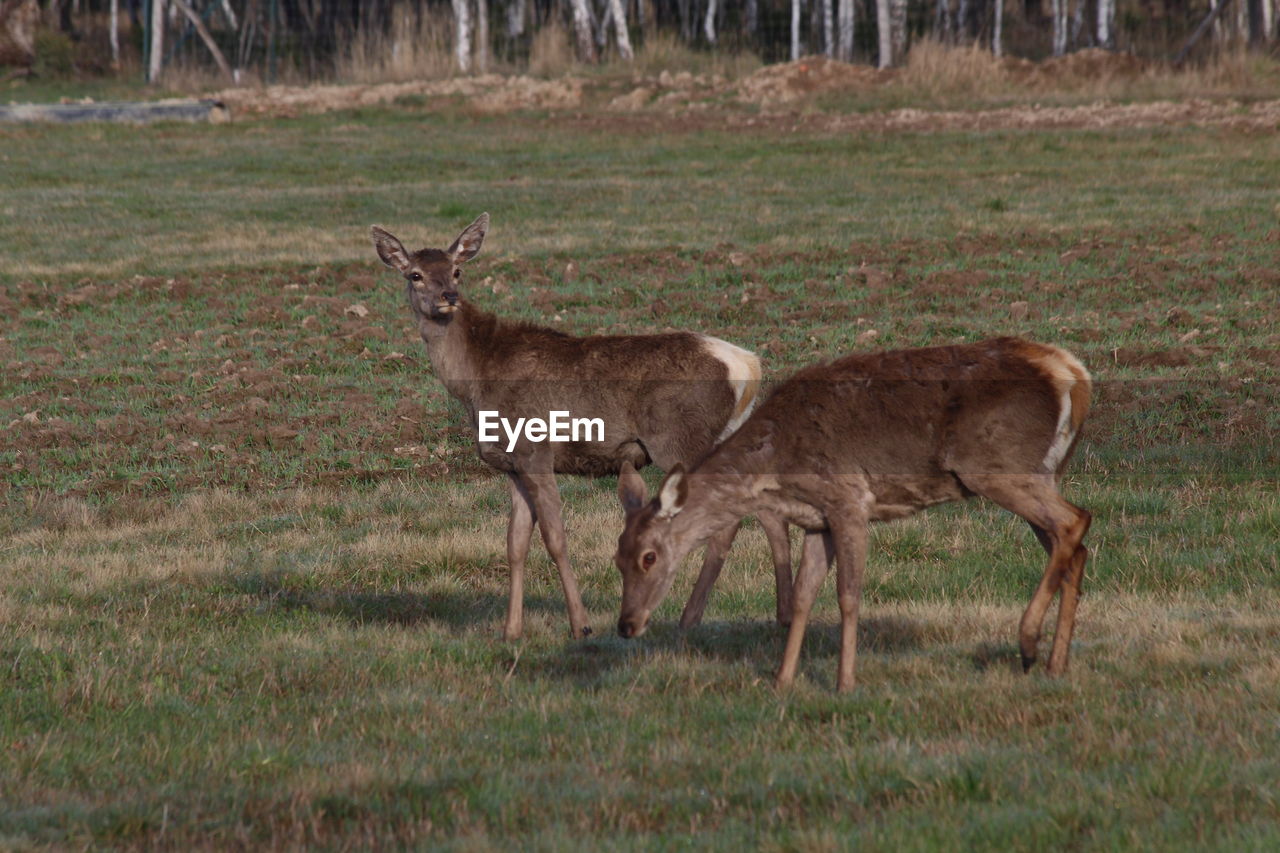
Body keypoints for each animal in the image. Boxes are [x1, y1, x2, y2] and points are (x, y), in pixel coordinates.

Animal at [368, 212, 788, 637]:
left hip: (683, 440)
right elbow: (515, 544)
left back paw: (691, 618)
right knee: (768, 513)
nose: (448, 296)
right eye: (416, 274)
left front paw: (580, 625)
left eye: (457, 271)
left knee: (730, 522)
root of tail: (749, 366)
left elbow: (555, 538)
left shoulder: (535, 450)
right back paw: (779, 616)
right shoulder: (512, 464)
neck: (475, 380)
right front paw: (511, 631)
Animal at [614, 335, 1095, 686]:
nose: (625, 625)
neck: (775, 467)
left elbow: (848, 595)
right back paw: (1056, 664)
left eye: (649, 556)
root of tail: (1073, 374)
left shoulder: (849, 500)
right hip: (1041, 470)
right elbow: (805, 596)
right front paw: (783, 681)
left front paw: (845, 682)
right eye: (618, 557)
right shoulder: (817, 520)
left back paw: (1028, 643)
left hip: (997, 464)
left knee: (1075, 521)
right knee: (1073, 545)